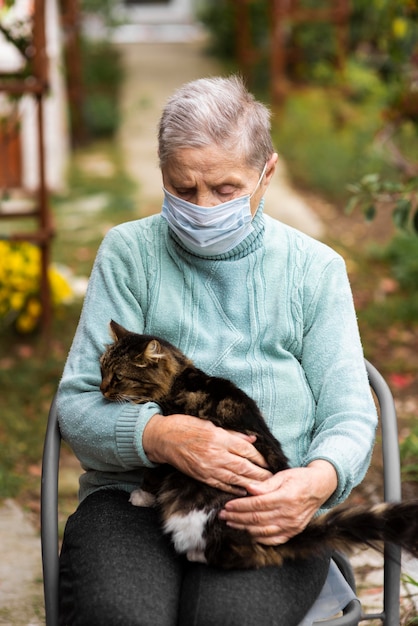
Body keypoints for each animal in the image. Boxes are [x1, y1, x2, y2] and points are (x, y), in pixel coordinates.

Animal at [99, 320, 418, 568]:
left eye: (118, 377)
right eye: (102, 369)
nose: (101, 389)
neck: (180, 379)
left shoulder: (171, 451)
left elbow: (152, 475)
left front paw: (141, 496)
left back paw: (194, 554)